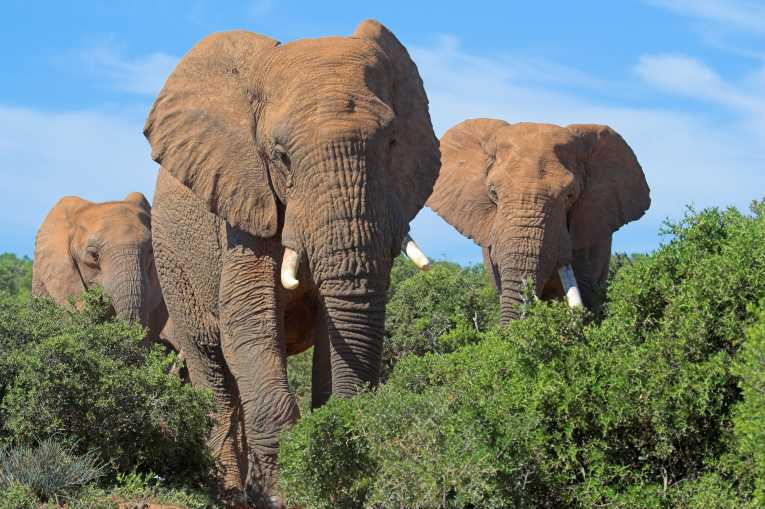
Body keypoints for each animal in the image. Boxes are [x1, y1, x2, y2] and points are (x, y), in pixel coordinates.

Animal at [143, 19, 438, 506]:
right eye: (280, 156)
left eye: (392, 143)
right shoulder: (245, 201)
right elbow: (248, 324)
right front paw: (280, 496)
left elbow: (339, 332)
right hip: (173, 260)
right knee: (212, 367)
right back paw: (229, 492)